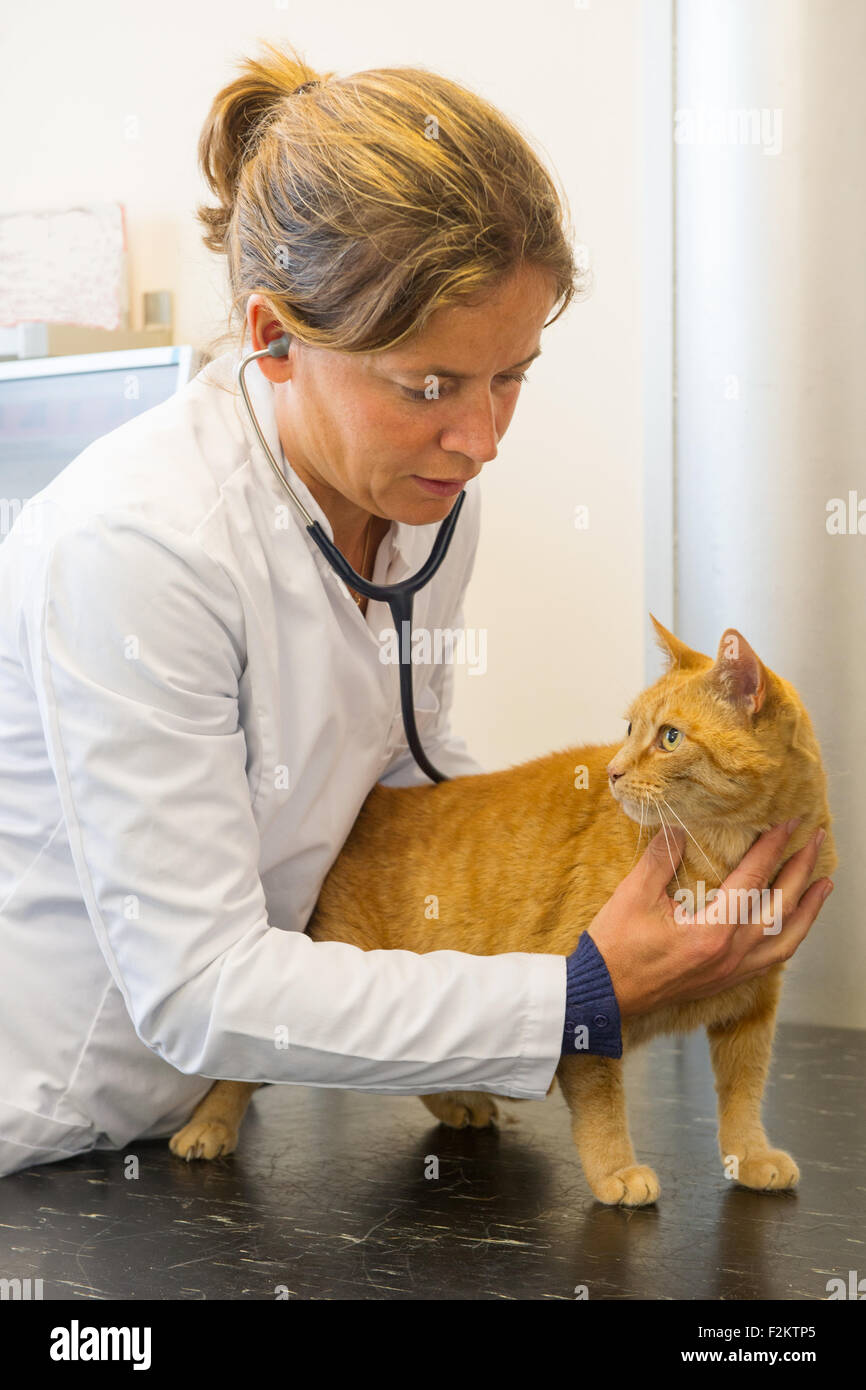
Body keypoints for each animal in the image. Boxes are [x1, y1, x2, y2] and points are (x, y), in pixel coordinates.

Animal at [169, 617, 839, 1206]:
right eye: (629, 729)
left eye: (669, 737)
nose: (613, 771)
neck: (722, 857)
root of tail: (370, 802)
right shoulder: (590, 1005)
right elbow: (603, 1109)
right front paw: (615, 1172)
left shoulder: (753, 1005)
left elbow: (744, 1093)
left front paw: (750, 1156)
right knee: (247, 1059)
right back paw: (209, 1126)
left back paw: (457, 1100)